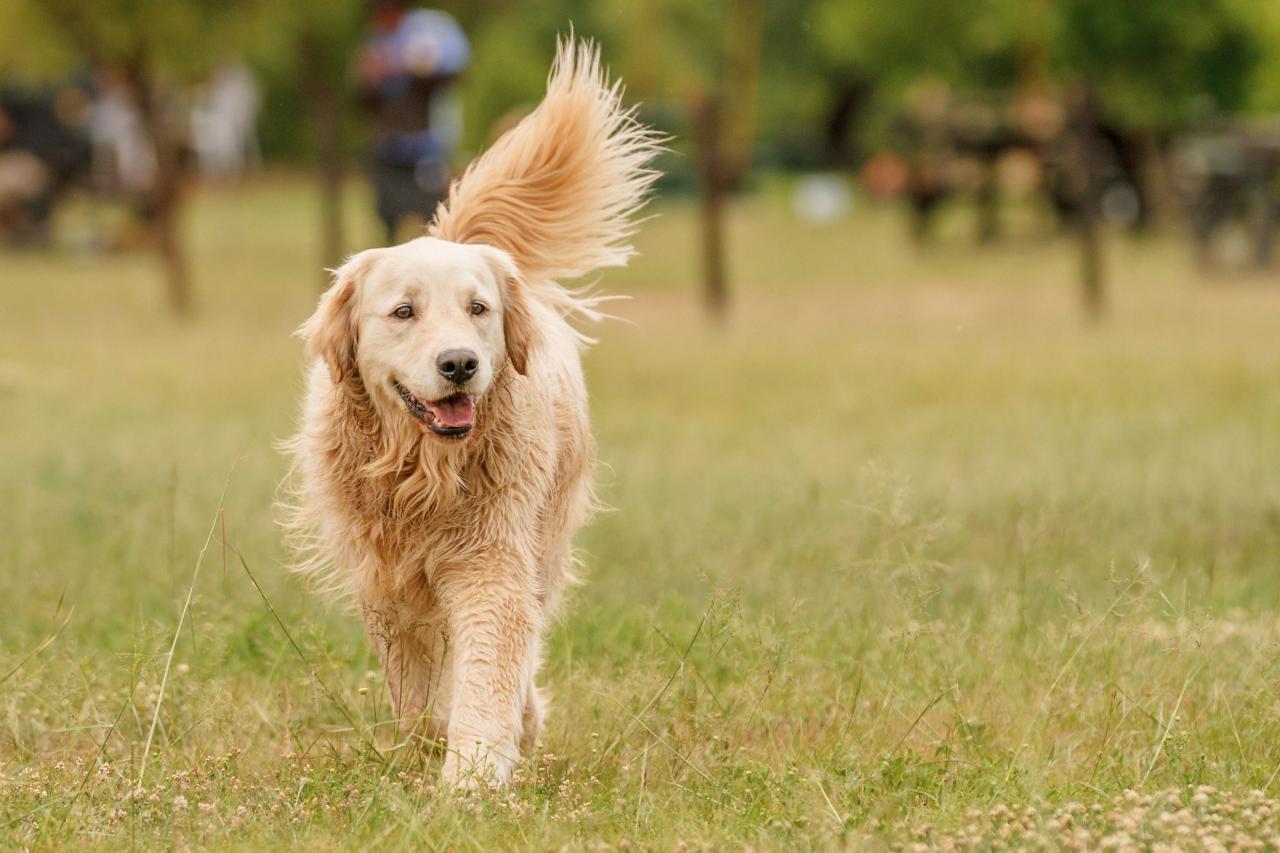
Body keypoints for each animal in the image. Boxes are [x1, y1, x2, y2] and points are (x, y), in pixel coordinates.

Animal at [281, 39, 660, 783]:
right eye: (404, 311)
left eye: (478, 308)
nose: (459, 363)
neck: (421, 469)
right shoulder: (386, 579)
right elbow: (418, 689)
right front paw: (434, 750)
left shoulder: (491, 561)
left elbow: (489, 668)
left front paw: (475, 774)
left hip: (547, 536)